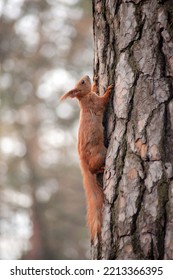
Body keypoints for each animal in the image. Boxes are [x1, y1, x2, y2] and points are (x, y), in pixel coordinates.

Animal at [60, 76, 113, 241]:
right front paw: (109, 89)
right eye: (82, 83)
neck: (83, 99)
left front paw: (96, 83)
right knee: (93, 168)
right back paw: (102, 168)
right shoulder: (95, 103)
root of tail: (82, 160)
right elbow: (103, 101)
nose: (87, 77)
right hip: (100, 154)